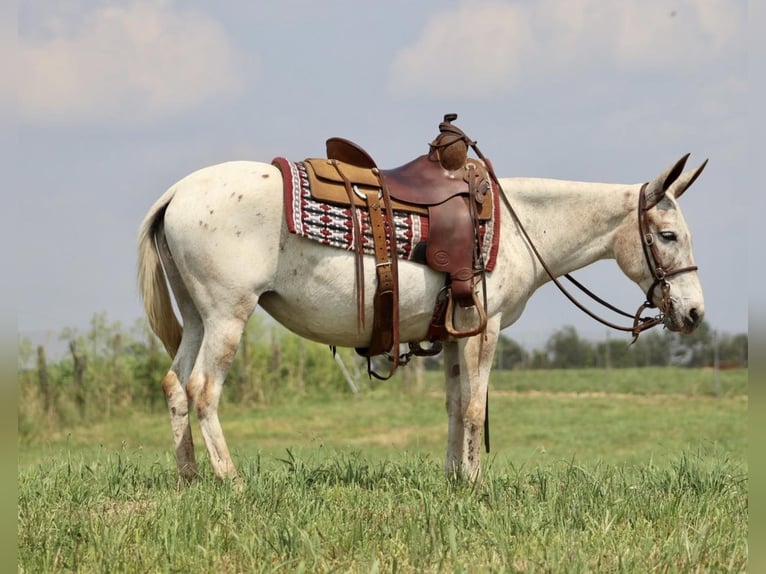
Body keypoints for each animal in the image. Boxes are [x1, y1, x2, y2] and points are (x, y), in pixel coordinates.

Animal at [138, 154, 708, 486]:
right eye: (668, 236)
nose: (695, 312)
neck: (520, 225)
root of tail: (176, 193)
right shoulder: (485, 328)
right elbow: (475, 409)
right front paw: (475, 485)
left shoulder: (454, 333)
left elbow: (455, 406)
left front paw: (454, 479)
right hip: (227, 314)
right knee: (203, 389)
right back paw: (230, 481)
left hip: (197, 316)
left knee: (174, 384)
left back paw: (189, 477)